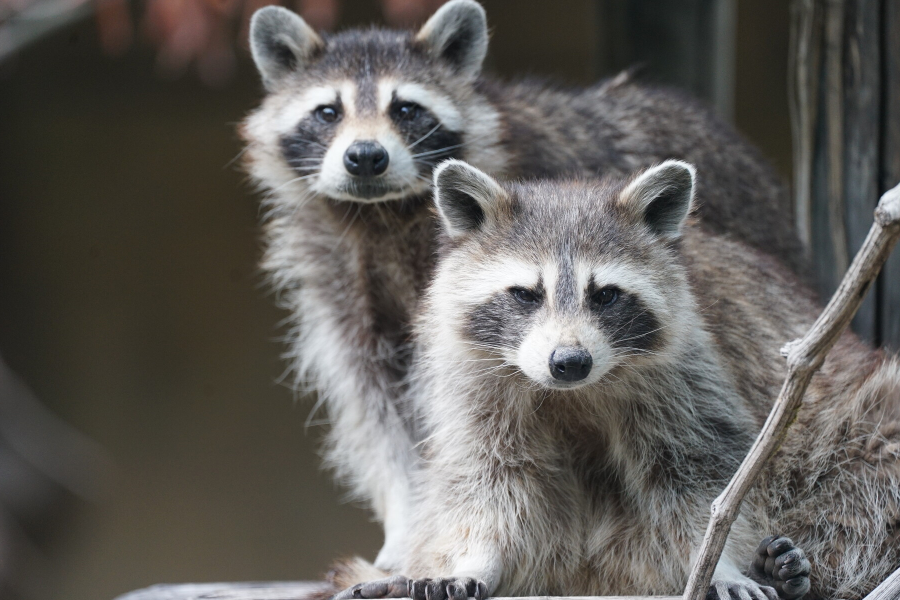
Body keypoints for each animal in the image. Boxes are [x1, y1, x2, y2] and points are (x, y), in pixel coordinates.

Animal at [239, 0, 800, 568]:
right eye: (328, 112)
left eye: (406, 110)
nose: (366, 157)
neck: (381, 214)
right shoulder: (340, 273)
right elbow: (379, 402)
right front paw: (405, 525)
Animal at [326, 162, 892, 600]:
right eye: (525, 294)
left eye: (606, 296)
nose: (568, 362)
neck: (573, 393)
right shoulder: (475, 383)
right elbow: (491, 477)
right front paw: (475, 557)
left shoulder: (689, 378)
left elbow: (699, 478)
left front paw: (722, 560)